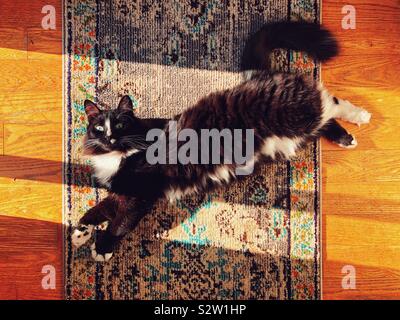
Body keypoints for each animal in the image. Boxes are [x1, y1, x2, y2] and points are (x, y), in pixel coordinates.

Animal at [72, 21, 372, 262]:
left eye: (120, 125)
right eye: (98, 128)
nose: (110, 137)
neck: (120, 156)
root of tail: (259, 75)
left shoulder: (139, 194)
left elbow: (120, 223)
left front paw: (102, 248)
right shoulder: (122, 191)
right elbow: (99, 209)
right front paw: (81, 231)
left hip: (296, 114)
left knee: (331, 101)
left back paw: (360, 116)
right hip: (298, 129)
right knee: (325, 118)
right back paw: (346, 137)